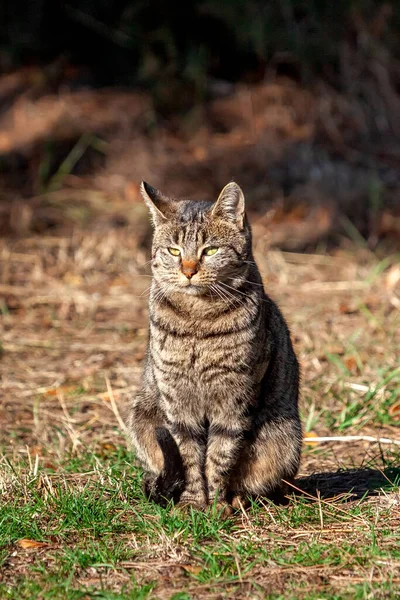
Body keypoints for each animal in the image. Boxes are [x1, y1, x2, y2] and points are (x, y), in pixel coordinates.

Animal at [126, 180, 302, 512]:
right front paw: (193, 502)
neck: (199, 319)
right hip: (142, 414)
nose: (188, 270)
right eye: (174, 251)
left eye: (210, 250)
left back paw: (240, 498)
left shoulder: (234, 398)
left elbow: (220, 455)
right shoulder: (177, 400)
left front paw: (218, 504)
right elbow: (189, 455)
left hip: (284, 435)